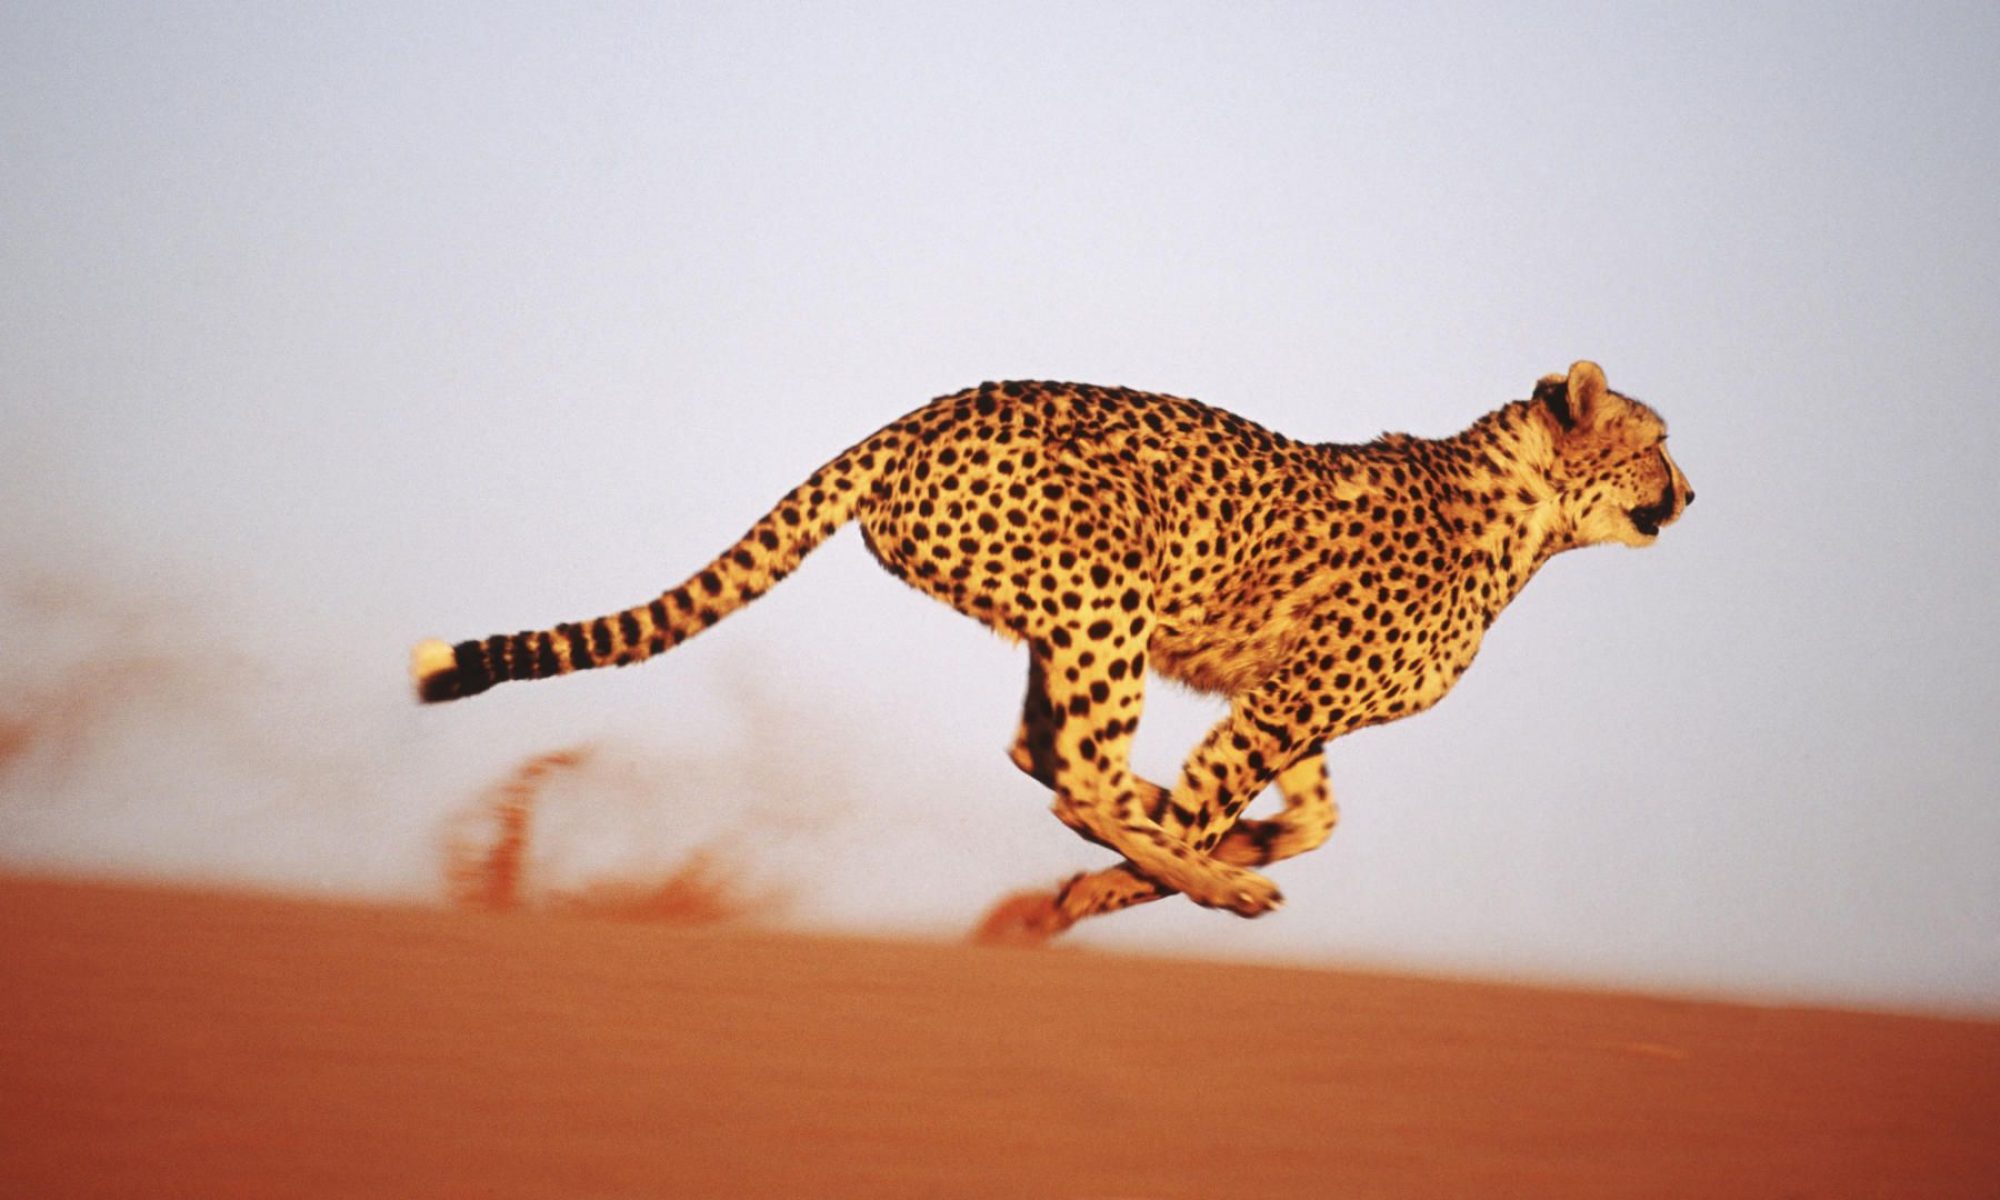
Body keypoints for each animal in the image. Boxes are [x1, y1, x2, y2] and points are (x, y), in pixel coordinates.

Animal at [411, 360, 1692, 939]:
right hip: (1108, 592)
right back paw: (1195, 877)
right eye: (1654, 441)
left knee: (1045, 755)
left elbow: (1314, 816)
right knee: (1071, 773)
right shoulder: (1286, 702)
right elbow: (1210, 804)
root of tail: (920, 412)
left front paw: (1229, 843)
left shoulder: (1286, 699)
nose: (1688, 491)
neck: (1527, 518)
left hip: (1064, 616)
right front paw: (1137, 882)